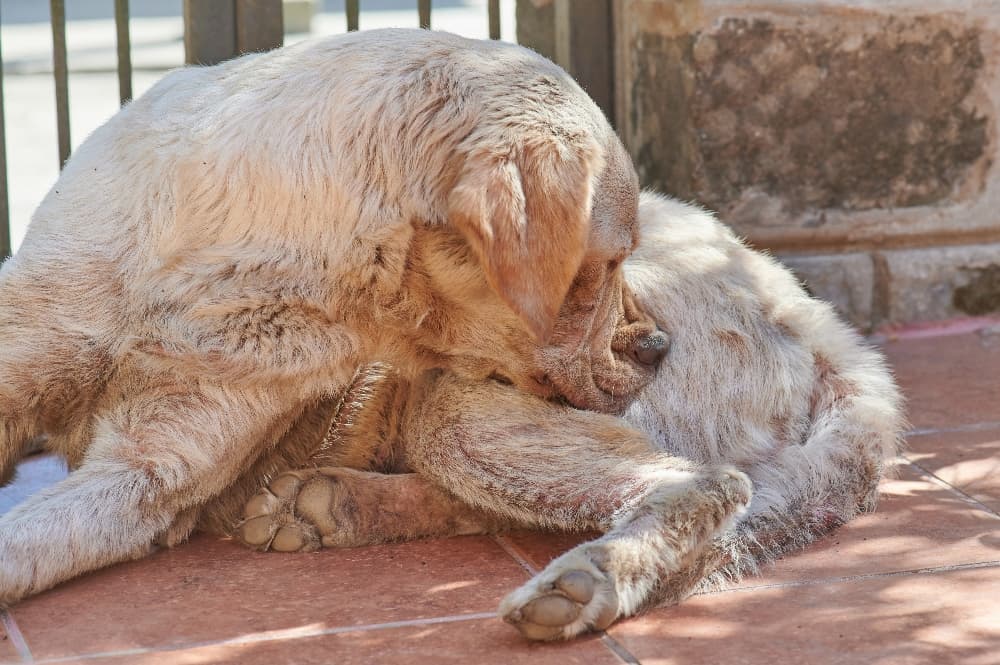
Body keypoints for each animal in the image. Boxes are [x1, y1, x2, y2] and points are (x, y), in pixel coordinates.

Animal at [225, 191, 908, 640]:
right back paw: (326, 504)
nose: (651, 344)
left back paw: (583, 581)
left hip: (461, 405)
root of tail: (809, 316)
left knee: (707, 484)